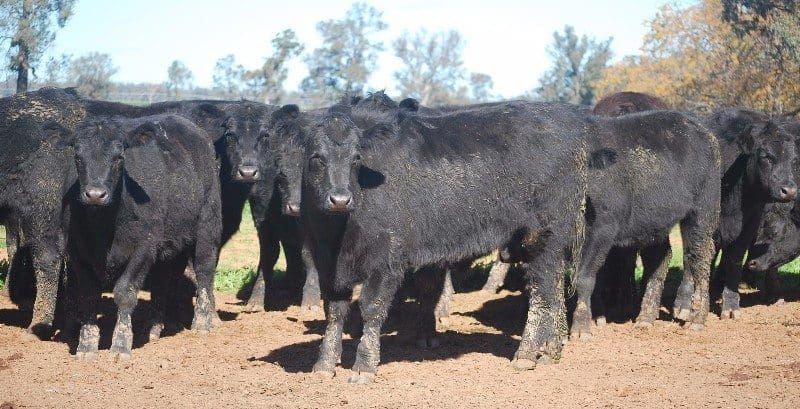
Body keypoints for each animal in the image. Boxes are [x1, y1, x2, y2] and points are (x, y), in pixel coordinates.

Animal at [55, 113, 222, 358]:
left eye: (119, 157)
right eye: (78, 156)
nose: (95, 194)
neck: (103, 226)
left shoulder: (144, 248)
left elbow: (125, 292)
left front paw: (120, 344)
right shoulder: (76, 251)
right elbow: (88, 295)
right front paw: (86, 346)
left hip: (208, 224)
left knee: (204, 270)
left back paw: (201, 323)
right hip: (167, 242)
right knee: (162, 281)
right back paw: (153, 328)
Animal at [290, 100, 592, 380]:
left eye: (356, 158)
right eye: (316, 157)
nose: (340, 199)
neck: (336, 237)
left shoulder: (386, 260)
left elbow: (371, 309)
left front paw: (364, 367)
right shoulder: (328, 265)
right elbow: (334, 312)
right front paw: (324, 365)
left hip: (542, 236)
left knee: (542, 294)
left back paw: (527, 354)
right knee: (554, 291)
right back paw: (550, 351)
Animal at [568, 109, 720, 338]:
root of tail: (705, 133)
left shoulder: (601, 231)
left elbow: (584, 277)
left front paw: (580, 329)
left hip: (702, 213)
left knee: (699, 257)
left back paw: (696, 319)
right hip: (655, 222)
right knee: (662, 256)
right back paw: (645, 318)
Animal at [672, 108, 796, 318]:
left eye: (794, 159)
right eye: (766, 156)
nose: (789, 190)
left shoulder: (750, 225)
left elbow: (734, 260)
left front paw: (730, 305)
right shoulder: (696, 219)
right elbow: (692, 255)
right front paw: (684, 304)